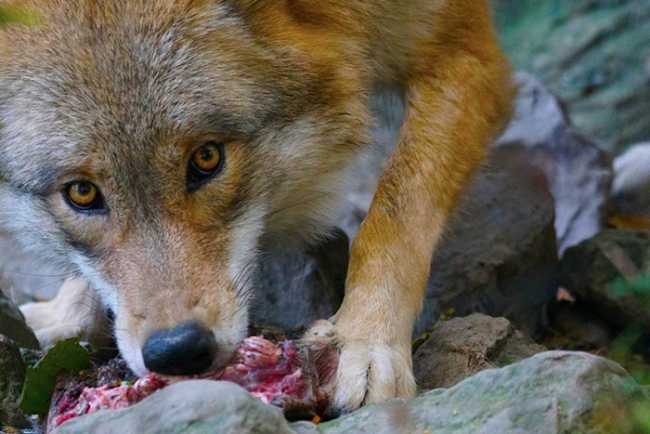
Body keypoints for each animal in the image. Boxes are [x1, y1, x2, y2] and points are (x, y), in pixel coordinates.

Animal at [0, 0, 512, 412]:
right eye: (81, 193)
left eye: (207, 158)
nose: (178, 351)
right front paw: (63, 315)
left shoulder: (463, 50)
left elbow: (396, 211)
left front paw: (364, 342)